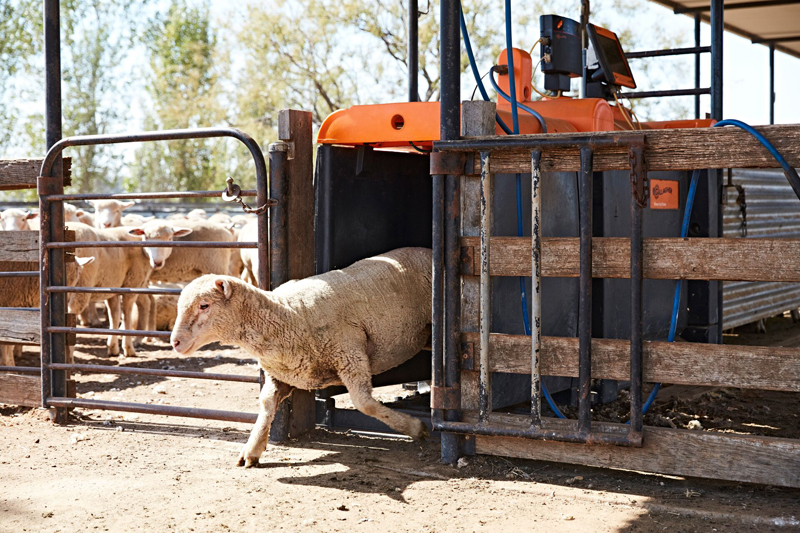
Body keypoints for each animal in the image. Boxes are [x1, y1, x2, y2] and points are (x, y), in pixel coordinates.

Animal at [170, 247, 432, 467]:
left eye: (204, 305)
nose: (175, 342)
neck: (289, 315)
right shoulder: (281, 372)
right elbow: (266, 404)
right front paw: (252, 449)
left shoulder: (351, 353)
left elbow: (364, 403)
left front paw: (415, 428)